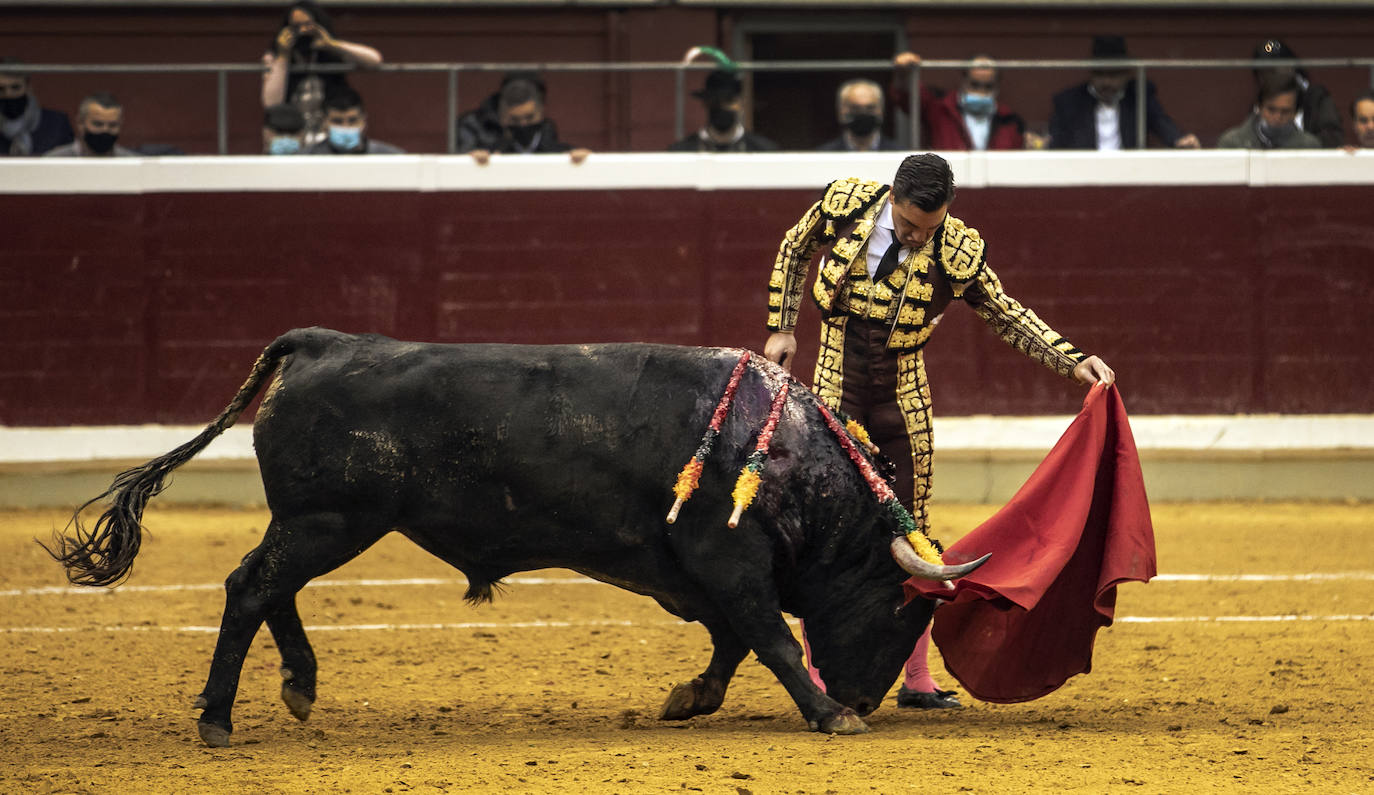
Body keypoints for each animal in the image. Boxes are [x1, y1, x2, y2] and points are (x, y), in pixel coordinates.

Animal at [45, 328, 989, 746]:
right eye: (906, 609)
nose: (866, 696)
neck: (783, 450)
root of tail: (324, 342)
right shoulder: (730, 560)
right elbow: (772, 638)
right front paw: (829, 714)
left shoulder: (703, 570)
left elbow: (732, 640)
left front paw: (691, 697)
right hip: (329, 520)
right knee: (251, 586)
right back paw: (216, 718)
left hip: (321, 523)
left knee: (267, 584)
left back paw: (300, 686)